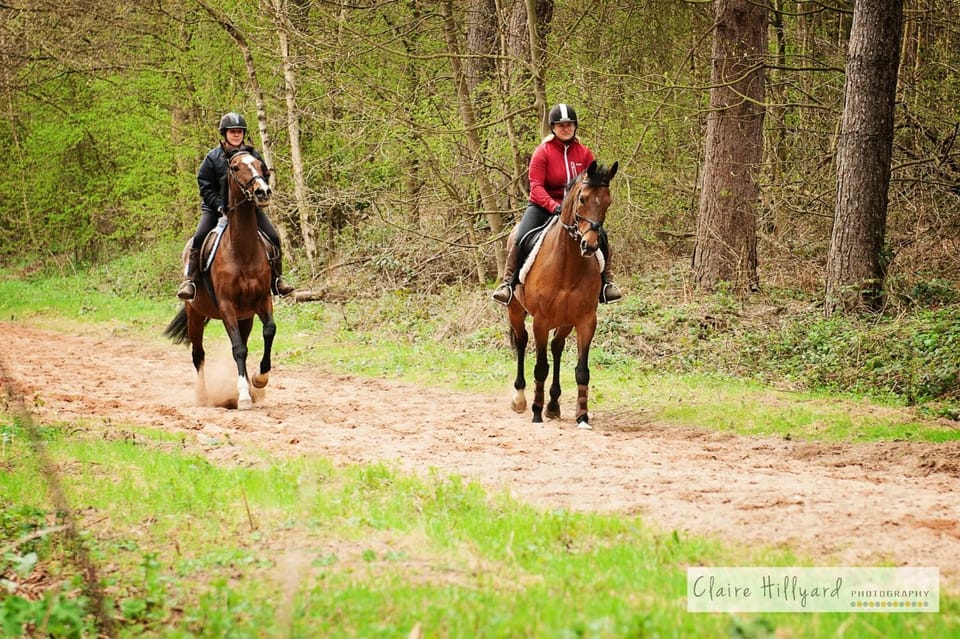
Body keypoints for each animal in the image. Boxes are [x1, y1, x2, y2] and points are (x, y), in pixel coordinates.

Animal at [163, 150, 277, 410]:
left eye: (260, 165)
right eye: (235, 168)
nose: (263, 192)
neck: (242, 251)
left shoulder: (262, 301)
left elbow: (268, 331)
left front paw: (259, 379)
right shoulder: (226, 307)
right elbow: (237, 348)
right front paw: (243, 396)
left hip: (246, 317)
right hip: (195, 315)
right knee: (198, 354)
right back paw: (204, 397)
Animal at [506, 160, 618, 429]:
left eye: (607, 201)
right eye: (582, 198)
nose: (590, 245)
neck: (567, 264)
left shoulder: (586, 320)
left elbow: (582, 371)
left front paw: (582, 416)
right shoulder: (540, 321)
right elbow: (540, 367)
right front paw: (536, 412)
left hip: (566, 321)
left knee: (557, 347)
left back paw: (554, 405)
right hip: (515, 310)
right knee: (522, 341)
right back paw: (520, 398)